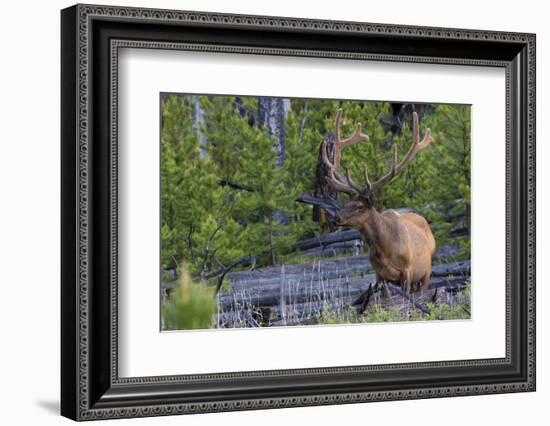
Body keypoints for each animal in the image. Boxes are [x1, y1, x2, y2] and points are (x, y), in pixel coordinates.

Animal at [322, 110, 438, 294]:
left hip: (426, 272)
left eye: (360, 206)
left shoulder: (407, 271)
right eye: (346, 204)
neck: (384, 250)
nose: (335, 218)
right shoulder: (379, 276)